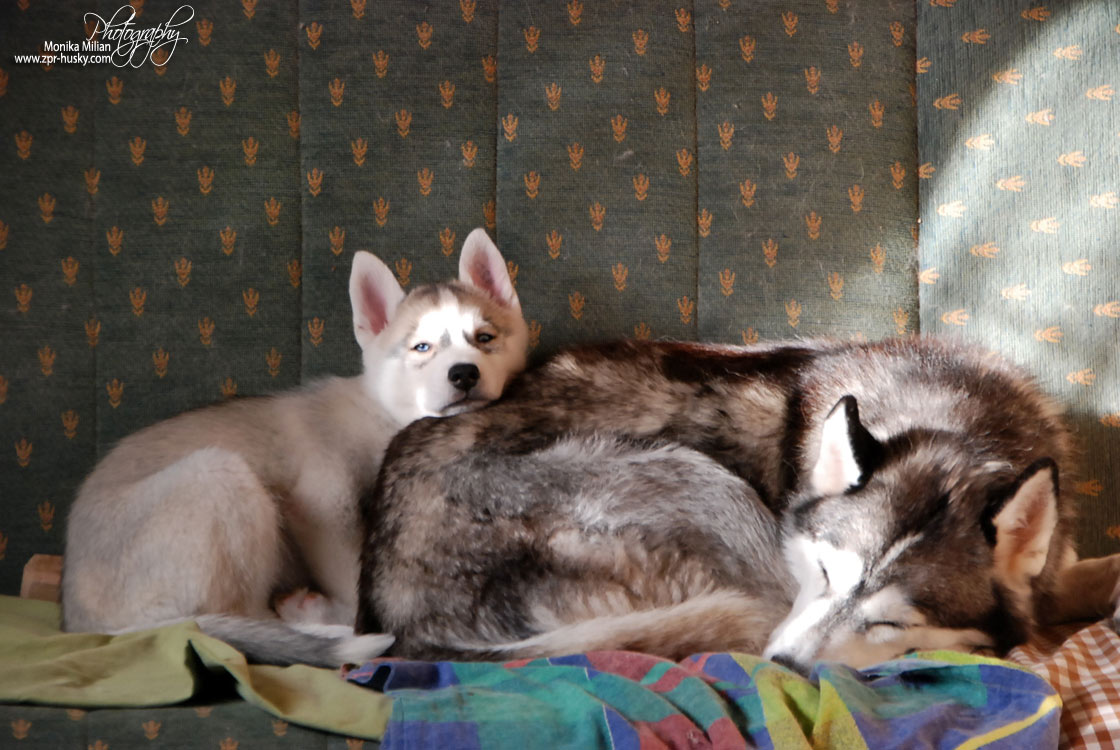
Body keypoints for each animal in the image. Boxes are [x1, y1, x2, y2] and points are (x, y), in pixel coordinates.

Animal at [61, 228, 529, 667]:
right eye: (422, 348)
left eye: (484, 338)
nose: (464, 374)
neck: (382, 412)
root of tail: (83, 622)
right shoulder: (320, 507)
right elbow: (353, 587)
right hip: (219, 475)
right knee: (245, 615)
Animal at [358, 336, 1105, 671]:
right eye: (824, 575)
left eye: (890, 622)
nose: (783, 670)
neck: (957, 427)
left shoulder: (1057, 567)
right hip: (706, 484)